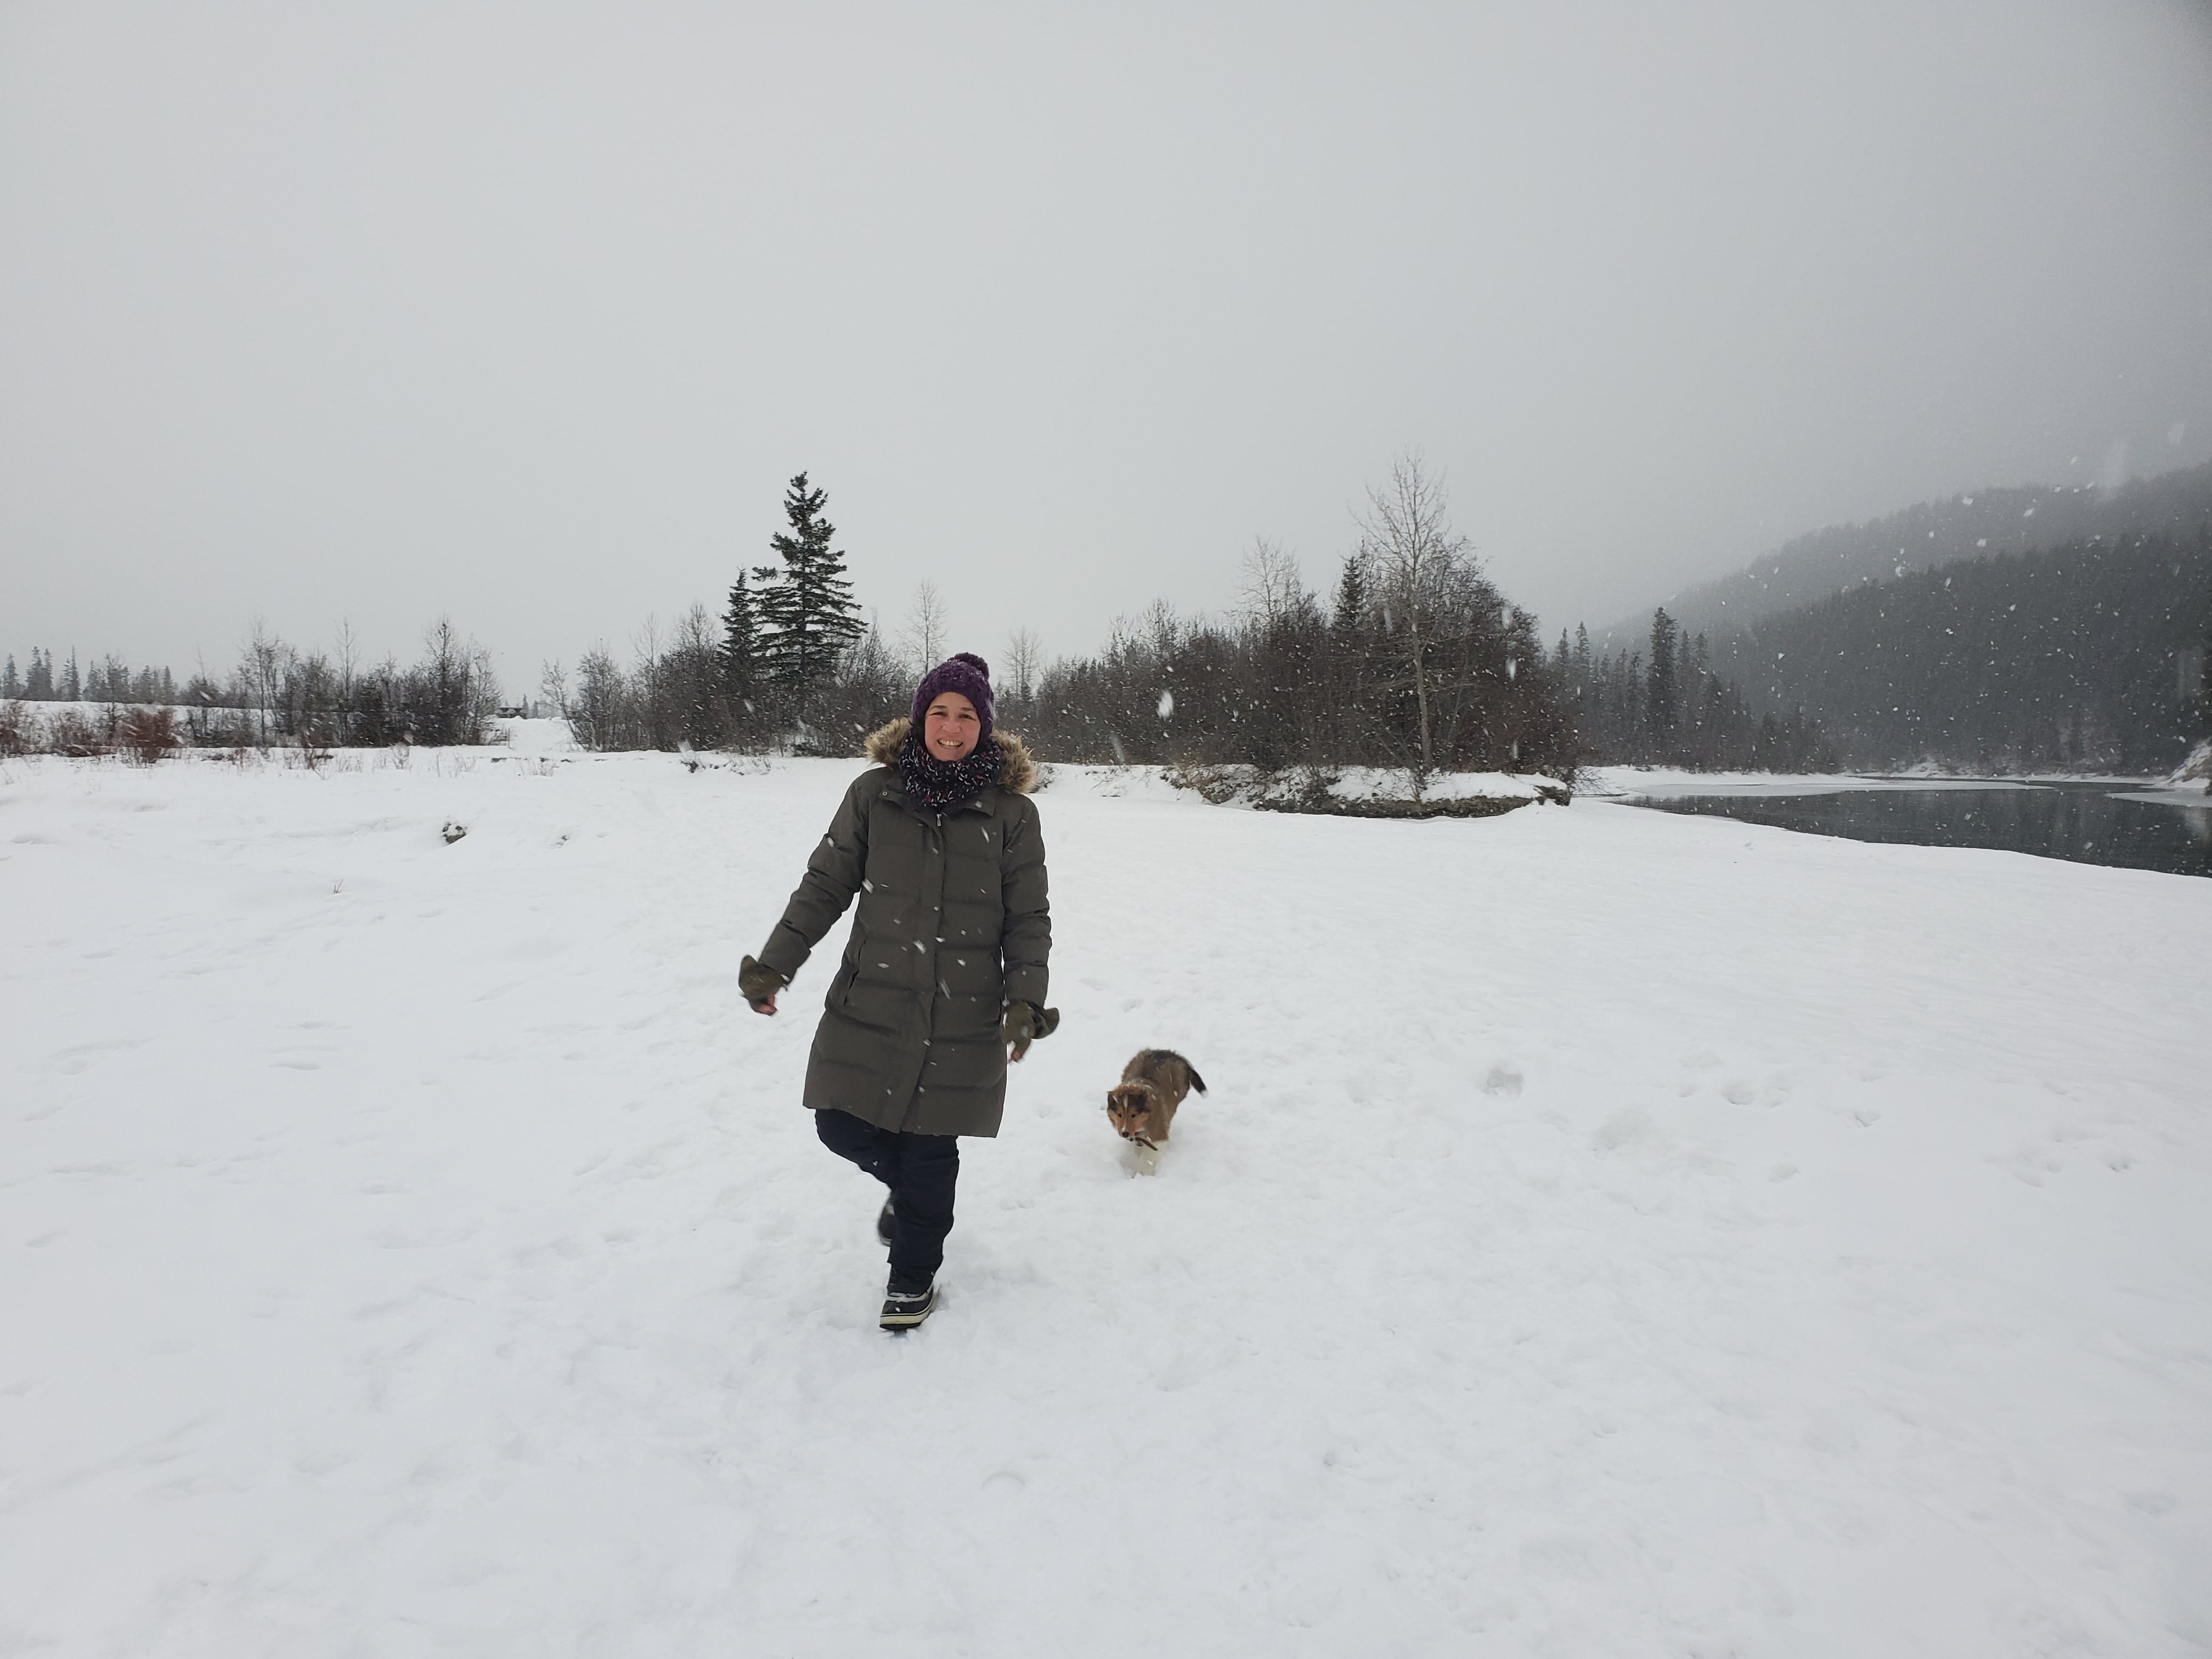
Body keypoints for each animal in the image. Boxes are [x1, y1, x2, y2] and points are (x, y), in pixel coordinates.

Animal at [1106, 1053, 1212, 1159]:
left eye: (1134, 1115)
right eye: (1119, 1114)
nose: (1125, 1134)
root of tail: (1176, 1055)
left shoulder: (1158, 1132)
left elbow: (1148, 1156)